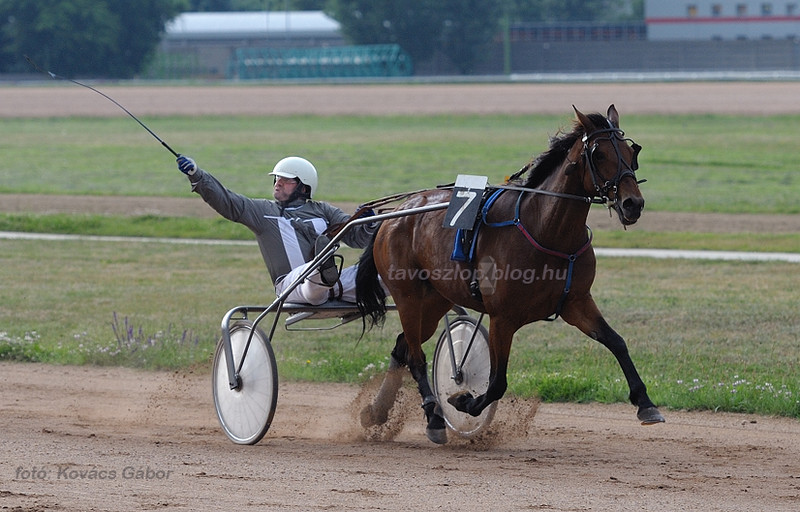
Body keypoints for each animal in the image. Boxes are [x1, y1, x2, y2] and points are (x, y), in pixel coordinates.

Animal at [354, 105, 664, 444]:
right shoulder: (502, 317)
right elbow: (496, 382)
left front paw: (646, 403)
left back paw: (377, 412)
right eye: (599, 154)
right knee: (415, 357)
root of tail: (393, 216)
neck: (546, 230)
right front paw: (464, 400)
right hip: (408, 297)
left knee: (402, 347)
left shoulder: (576, 302)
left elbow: (616, 342)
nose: (633, 203)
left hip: (435, 300)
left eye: (630, 152)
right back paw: (434, 419)